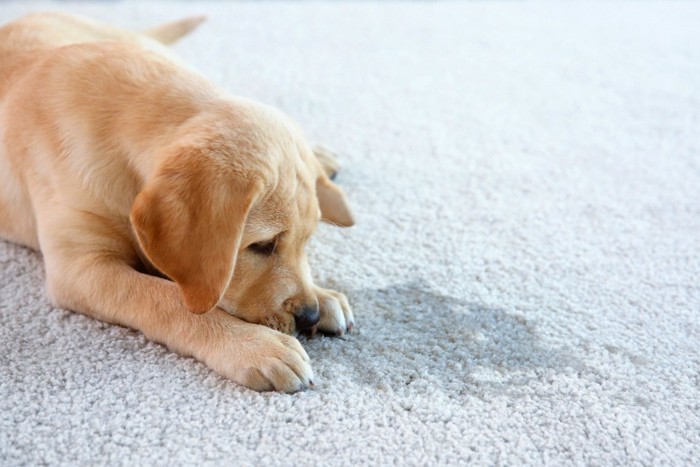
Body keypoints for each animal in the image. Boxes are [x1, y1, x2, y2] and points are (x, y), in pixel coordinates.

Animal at [0, 12, 356, 394]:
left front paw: (322, 294)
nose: (309, 315)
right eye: (262, 245)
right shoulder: (81, 268)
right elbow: (166, 298)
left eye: (306, 242)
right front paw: (254, 345)